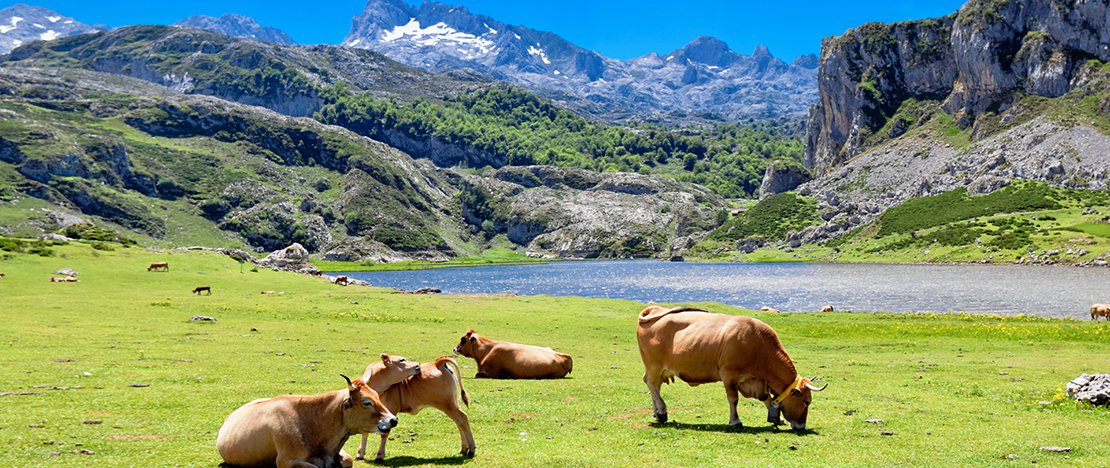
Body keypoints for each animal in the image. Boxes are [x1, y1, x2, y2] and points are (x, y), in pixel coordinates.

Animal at [636, 306, 826, 430]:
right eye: (807, 402)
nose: (802, 426)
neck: (759, 345)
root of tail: (655, 309)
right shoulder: (729, 375)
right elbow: (733, 399)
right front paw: (736, 421)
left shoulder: (757, 381)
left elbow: (766, 398)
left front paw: (778, 419)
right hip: (654, 365)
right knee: (651, 383)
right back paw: (662, 412)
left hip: (659, 369)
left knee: (655, 386)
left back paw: (657, 413)